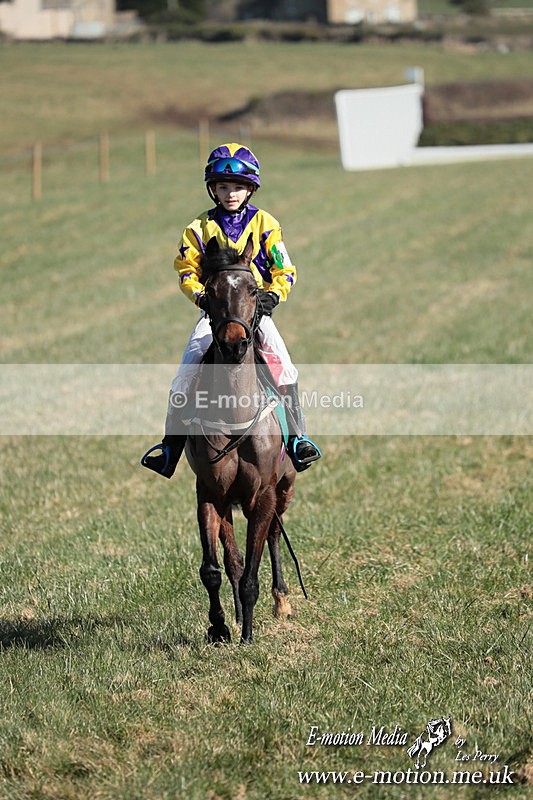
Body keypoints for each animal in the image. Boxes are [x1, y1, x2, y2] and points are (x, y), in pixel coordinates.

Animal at [183, 234, 297, 644]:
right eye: (211, 291)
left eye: (252, 289)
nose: (234, 344)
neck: (234, 417)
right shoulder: (209, 492)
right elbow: (215, 568)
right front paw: (219, 626)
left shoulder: (262, 494)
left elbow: (251, 571)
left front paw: (248, 633)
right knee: (232, 558)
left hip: (285, 487)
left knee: (275, 536)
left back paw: (282, 601)